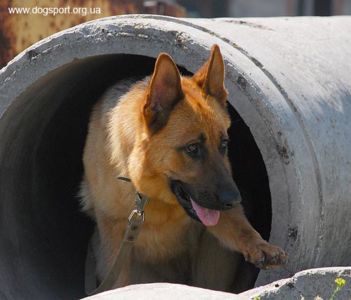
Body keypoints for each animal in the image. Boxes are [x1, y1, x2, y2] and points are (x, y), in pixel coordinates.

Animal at [80, 45, 288, 292]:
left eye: (224, 144)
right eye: (192, 148)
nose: (235, 200)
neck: (149, 196)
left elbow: (239, 227)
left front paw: (260, 245)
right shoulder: (115, 237)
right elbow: (120, 282)